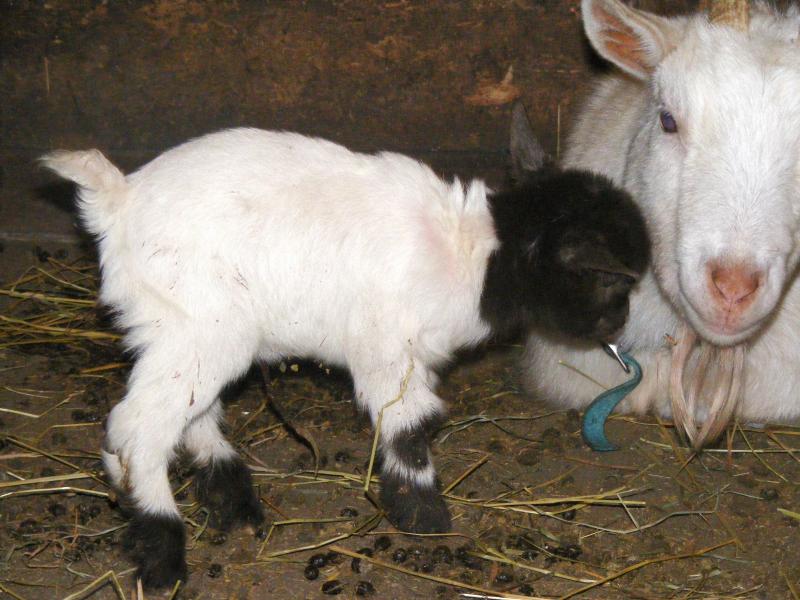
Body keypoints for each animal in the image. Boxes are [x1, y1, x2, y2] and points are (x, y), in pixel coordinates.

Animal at [42, 107, 647, 588]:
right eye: (610, 280)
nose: (621, 323)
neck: (476, 254)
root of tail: (118, 202)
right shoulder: (388, 350)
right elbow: (409, 426)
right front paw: (424, 516)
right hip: (198, 325)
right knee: (136, 429)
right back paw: (161, 549)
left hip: (194, 333)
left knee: (190, 415)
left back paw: (232, 500)